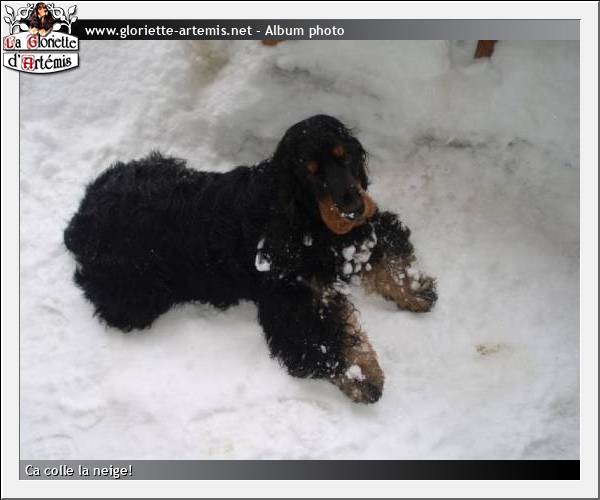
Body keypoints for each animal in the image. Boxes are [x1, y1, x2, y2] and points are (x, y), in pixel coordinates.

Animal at [64, 115, 437, 403]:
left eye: (344, 157)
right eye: (312, 172)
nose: (353, 208)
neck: (302, 215)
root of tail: (79, 220)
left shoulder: (360, 233)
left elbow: (387, 251)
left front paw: (414, 290)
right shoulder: (289, 300)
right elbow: (322, 342)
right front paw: (363, 377)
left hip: (161, 164)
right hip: (136, 297)